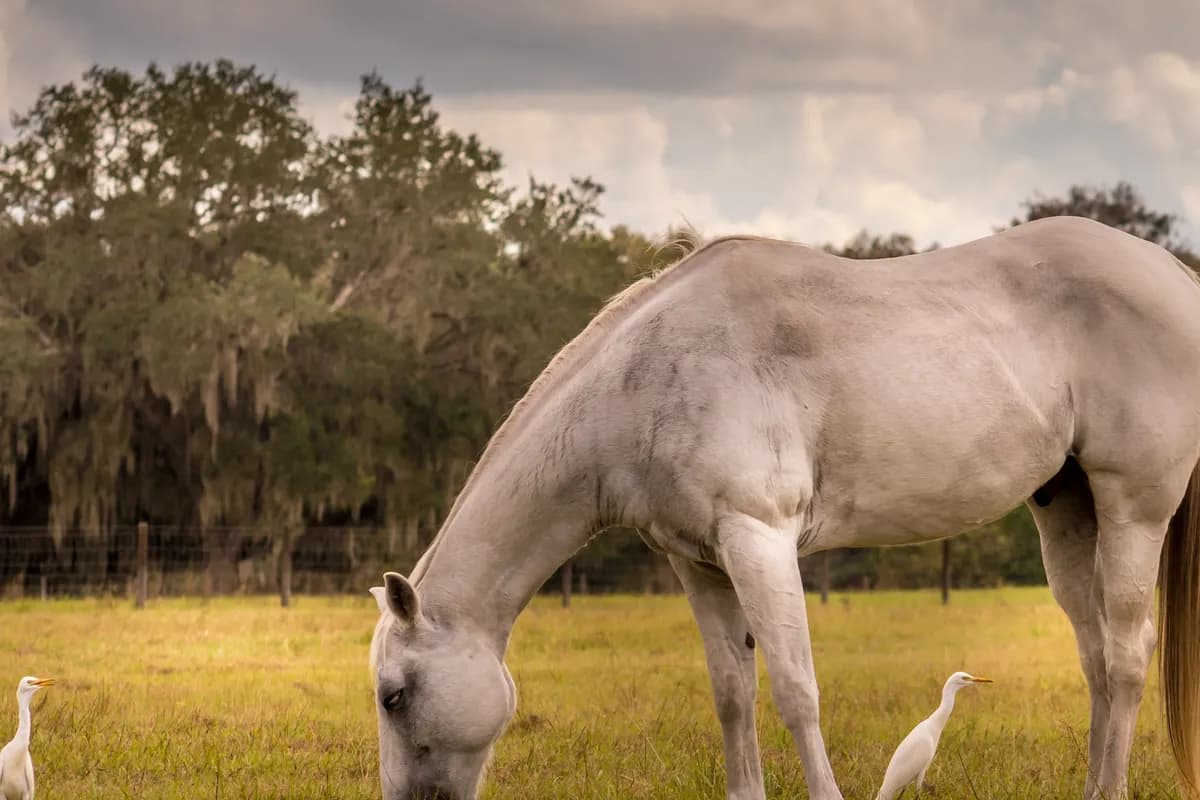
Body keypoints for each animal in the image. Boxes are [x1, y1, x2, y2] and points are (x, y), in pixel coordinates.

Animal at [368, 215, 1200, 800]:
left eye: (393, 696)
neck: (648, 375)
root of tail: (1176, 275)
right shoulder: (699, 563)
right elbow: (733, 696)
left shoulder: (757, 540)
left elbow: (797, 691)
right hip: (1068, 512)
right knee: (1095, 657)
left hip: (1134, 509)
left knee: (1127, 655)